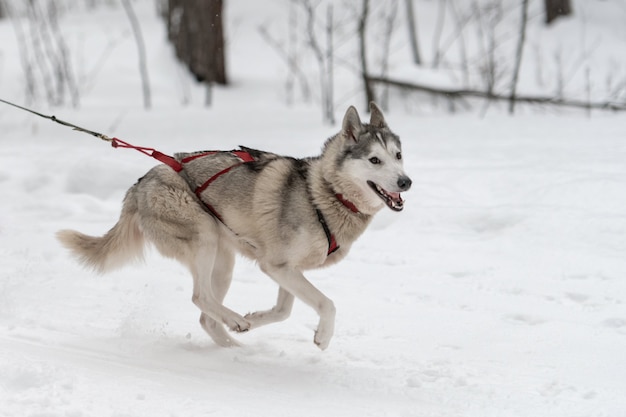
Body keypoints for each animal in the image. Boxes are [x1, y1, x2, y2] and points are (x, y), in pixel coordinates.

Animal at [57, 102, 410, 350]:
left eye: (398, 155)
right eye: (374, 160)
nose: (406, 182)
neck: (323, 193)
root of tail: (141, 182)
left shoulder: (287, 269)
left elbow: (284, 310)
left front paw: (256, 318)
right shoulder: (277, 266)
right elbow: (327, 303)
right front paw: (323, 336)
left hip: (223, 261)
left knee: (206, 317)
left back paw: (236, 347)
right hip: (204, 238)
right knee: (200, 297)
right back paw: (235, 323)